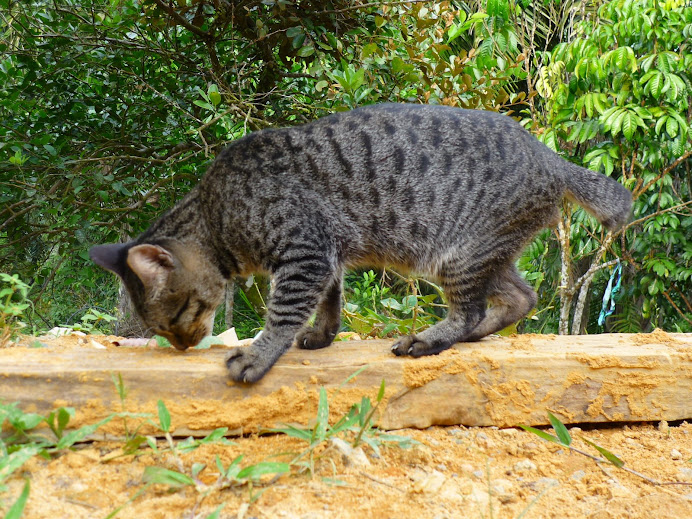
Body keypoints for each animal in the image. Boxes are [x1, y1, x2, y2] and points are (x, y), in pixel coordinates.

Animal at [88, 103, 632, 384]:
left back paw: (430, 338)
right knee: (521, 297)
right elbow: (331, 302)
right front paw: (322, 335)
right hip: (486, 254)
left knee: (471, 309)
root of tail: (550, 156)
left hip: (457, 254)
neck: (215, 210)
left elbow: (284, 312)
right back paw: (468, 336)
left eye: (174, 318)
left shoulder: (305, 252)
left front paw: (259, 355)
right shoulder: (326, 255)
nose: (182, 345)